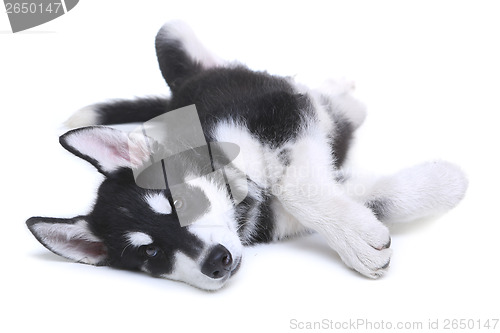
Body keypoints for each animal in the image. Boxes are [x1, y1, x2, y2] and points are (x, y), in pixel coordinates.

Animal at [27, 21, 466, 290]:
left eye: (179, 202)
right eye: (149, 252)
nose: (215, 261)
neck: (243, 190)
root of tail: (177, 93)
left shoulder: (281, 116)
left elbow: (296, 186)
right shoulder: (283, 212)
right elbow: (361, 195)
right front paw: (439, 186)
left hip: (175, 36)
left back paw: (342, 98)